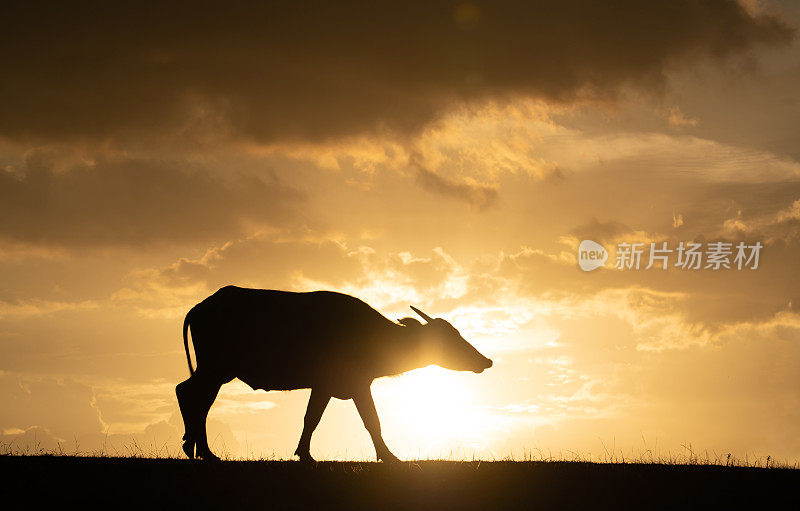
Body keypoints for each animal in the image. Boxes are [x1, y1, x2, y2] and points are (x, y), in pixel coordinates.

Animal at [176, 288, 494, 464]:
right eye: (450, 338)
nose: (486, 360)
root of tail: (200, 307)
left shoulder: (344, 386)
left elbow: (346, 420)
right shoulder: (342, 384)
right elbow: (359, 421)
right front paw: (390, 456)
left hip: (216, 371)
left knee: (191, 395)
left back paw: (194, 448)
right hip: (215, 368)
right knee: (190, 394)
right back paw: (203, 451)